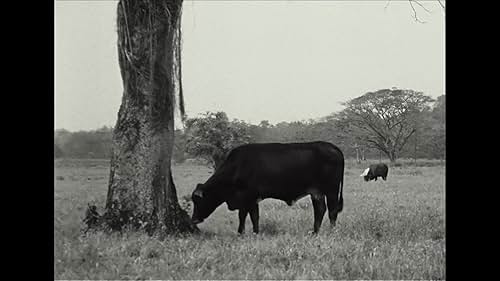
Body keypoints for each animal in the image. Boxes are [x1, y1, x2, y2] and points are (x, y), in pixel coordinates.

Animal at [190, 141, 344, 233]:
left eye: (198, 200)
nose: (194, 220)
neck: (237, 167)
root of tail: (335, 148)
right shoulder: (252, 199)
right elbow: (254, 216)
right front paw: (255, 232)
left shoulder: (246, 197)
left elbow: (243, 216)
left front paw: (241, 233)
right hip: (317, 192)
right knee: (320, 210)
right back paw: (315, 232)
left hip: (332, 190)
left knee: (332, 210)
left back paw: (331, 231)